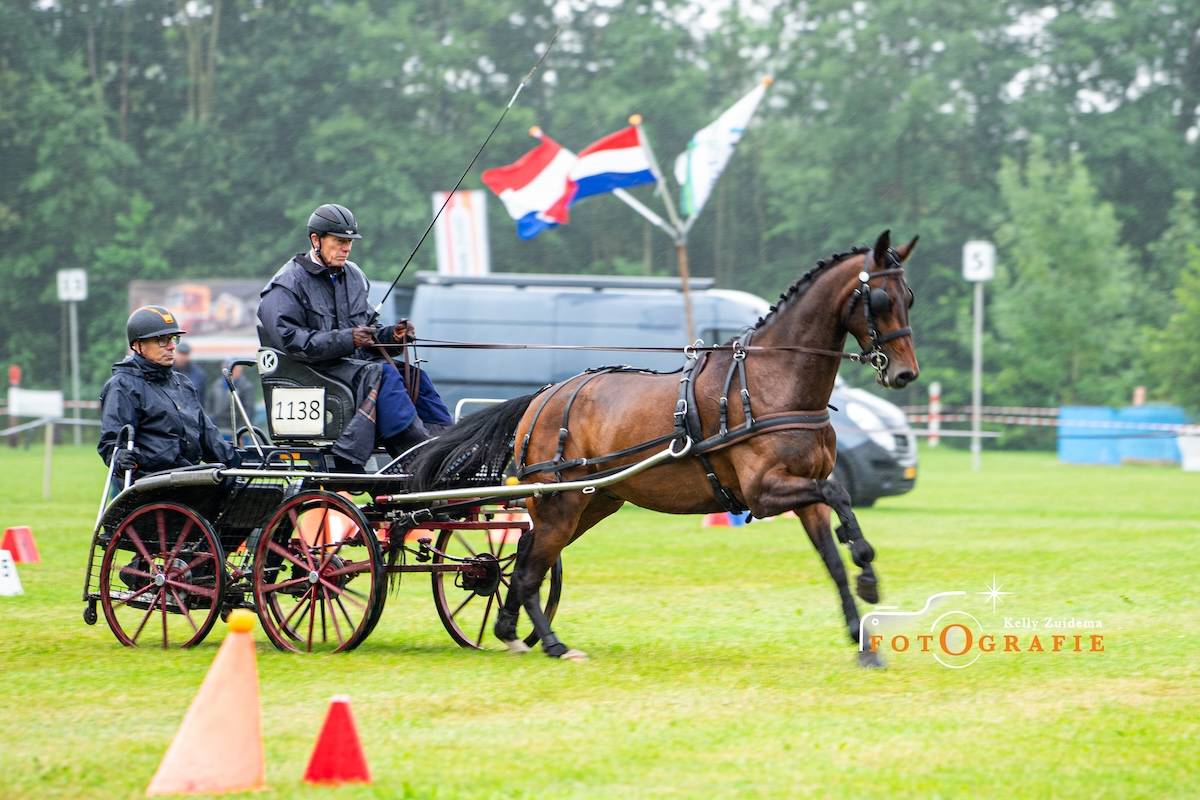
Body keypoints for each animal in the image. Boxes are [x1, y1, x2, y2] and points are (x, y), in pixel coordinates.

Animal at [410, 230, 920, 667]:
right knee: (533, 563)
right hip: (561, 503)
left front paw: (863, 638)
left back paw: (509, 630)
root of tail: (544, 396)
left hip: (593, 503)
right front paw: (867, 567)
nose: (905, 374)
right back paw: (552, 643)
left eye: (909, 297)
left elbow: (832, 557)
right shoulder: (765, 492)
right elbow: (841, 496)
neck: (771, 383)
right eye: (880, 299)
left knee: (528, 553)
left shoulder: (804, 489)